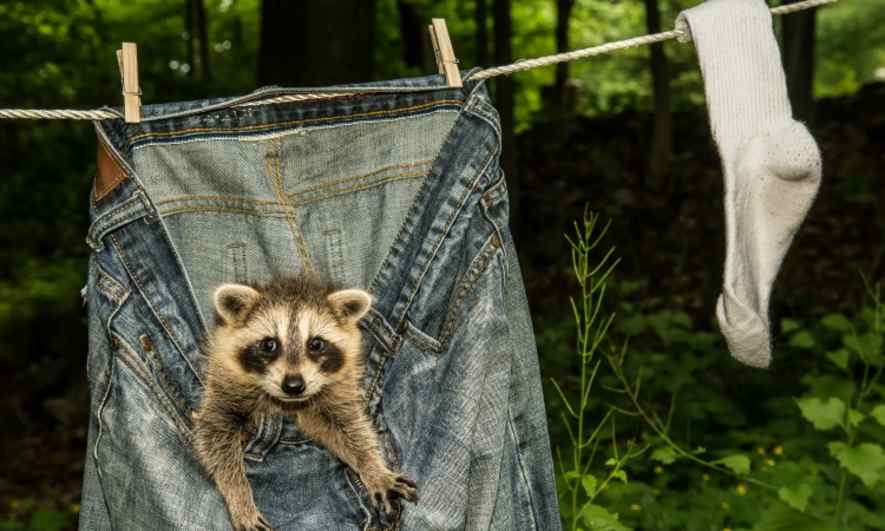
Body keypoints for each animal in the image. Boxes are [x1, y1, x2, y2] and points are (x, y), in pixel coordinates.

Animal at [192, 275, 417, 531]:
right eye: (269, 344)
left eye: (316, 344)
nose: (293, 385)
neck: (286, 403)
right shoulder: (226, 381)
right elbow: (214, 436)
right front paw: (238, 495)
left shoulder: (336, 390)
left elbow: (349, 429)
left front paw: (372, 467)